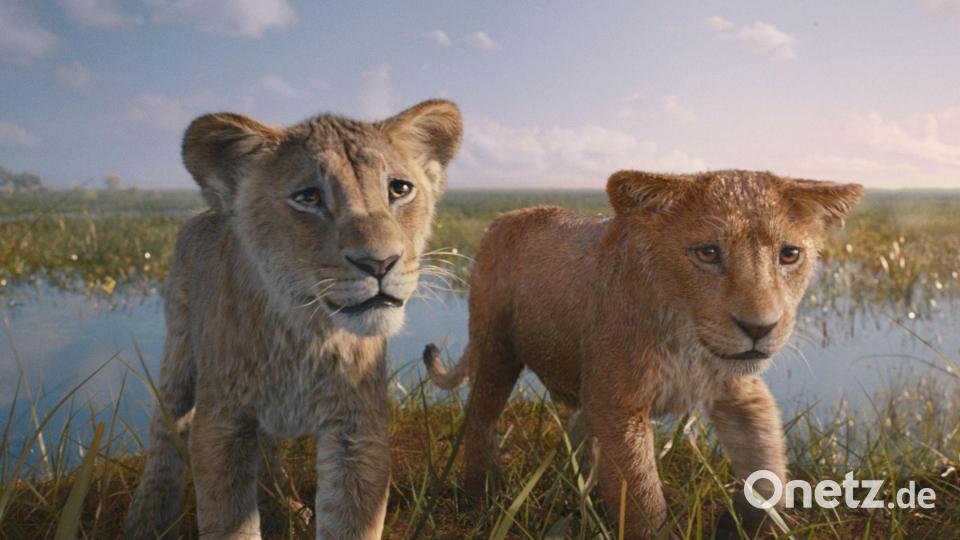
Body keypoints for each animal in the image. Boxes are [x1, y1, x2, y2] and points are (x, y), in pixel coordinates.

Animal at [125, 100, 462, 539]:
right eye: (309, 197)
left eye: (399, 189)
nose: (380, 263)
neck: (306, 333)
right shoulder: (222, 424)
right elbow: (227, 520)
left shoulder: (356, 429)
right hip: (179, 350)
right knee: (166, 426)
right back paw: (147, 517)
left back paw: (283, 506)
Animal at [424, 169, 862, 538]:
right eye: (707, 253)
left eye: (789, 255)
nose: (759, 329)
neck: (687, 340)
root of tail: (507, 216)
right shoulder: (619, 405)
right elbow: (643, 498)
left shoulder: (740, 392)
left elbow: (770, 467)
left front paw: (742, 523)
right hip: (495, 347)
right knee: (481, 417)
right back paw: (483, 496)